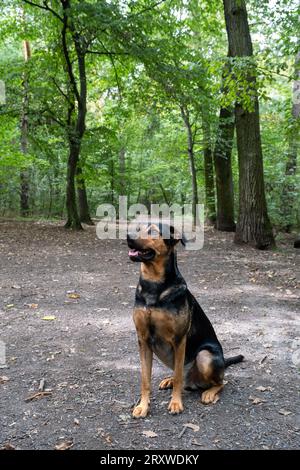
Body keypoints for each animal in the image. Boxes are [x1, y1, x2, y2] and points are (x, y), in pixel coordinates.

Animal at [126, 222, 244, 416]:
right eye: (137, 228)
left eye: (153, 231)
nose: (127, 236)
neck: (154, 285)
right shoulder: (143, 340)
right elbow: (145, 379)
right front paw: (143, 406)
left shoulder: (179, 339)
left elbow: (179, 376)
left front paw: (175, 403)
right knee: (179, 375)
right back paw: (169, 380)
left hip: (205, 356)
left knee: (219, 382)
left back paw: (208, 392)